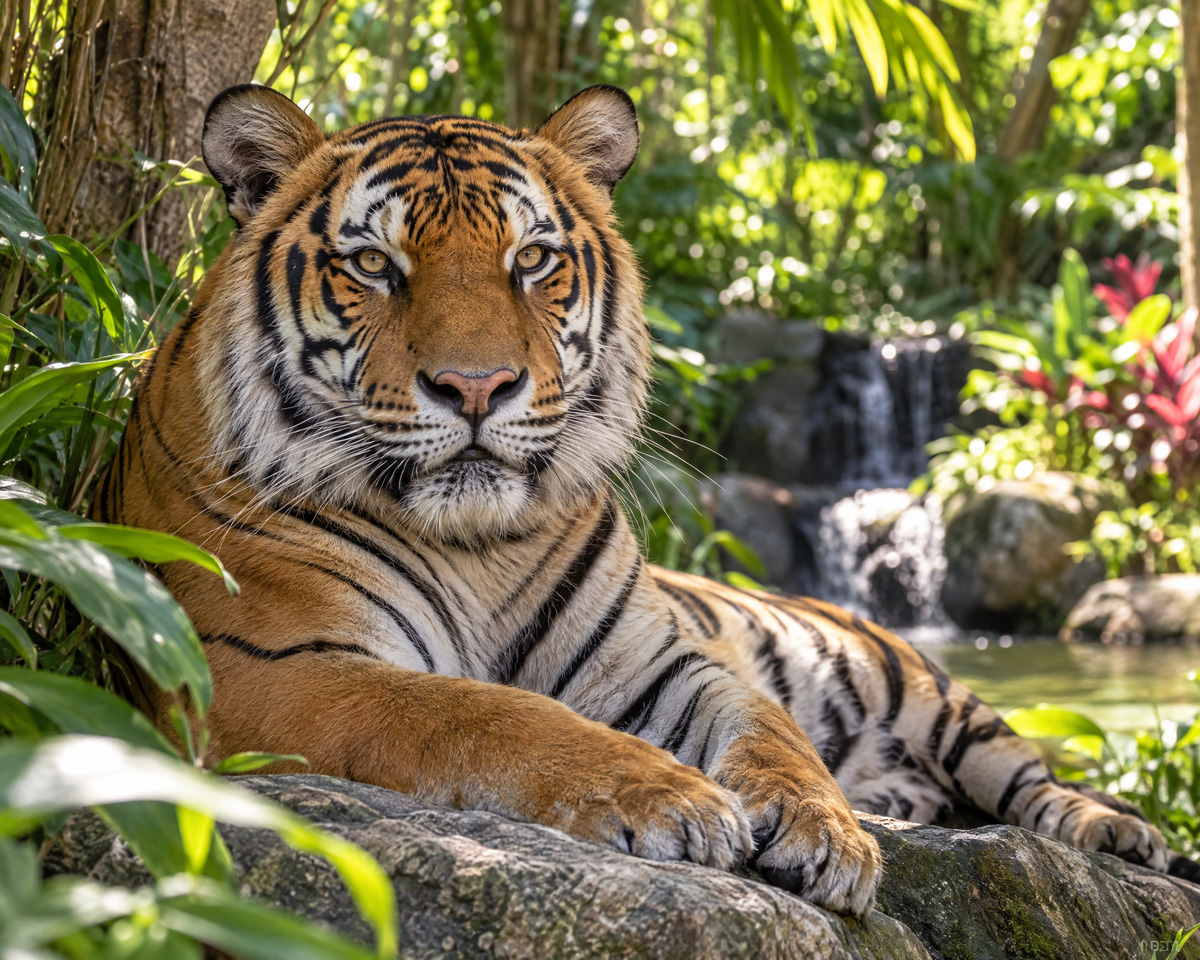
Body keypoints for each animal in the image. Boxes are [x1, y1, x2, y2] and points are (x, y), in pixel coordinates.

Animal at [94, 82, 1180, 919]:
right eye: (373, 264)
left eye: (531, 259)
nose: (478, 387)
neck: (475, 542)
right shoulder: (276, 670)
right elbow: (492, 714)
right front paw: (678, 802)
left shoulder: (668, 661)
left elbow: (775, 739)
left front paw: (827, 833)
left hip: (937, 697)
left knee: (1034, 779)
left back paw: (1120, 835)